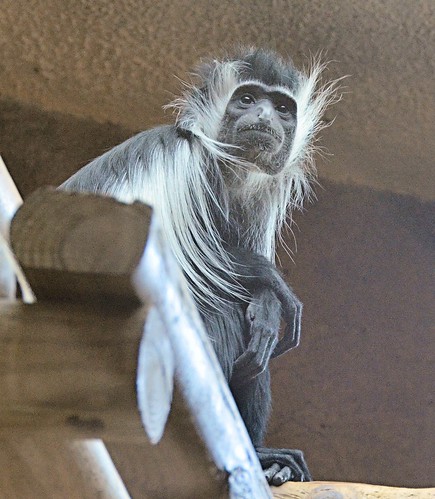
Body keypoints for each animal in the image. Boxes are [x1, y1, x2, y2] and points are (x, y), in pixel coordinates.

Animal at [59, 47, 338, 484]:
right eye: (246, 99)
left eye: (282, 108)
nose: (263, 116)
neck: (229, 169)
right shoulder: (184, 163)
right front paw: (273, 286)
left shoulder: (258, 201)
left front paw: (267, 308)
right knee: (213, 313)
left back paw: (267, 462)